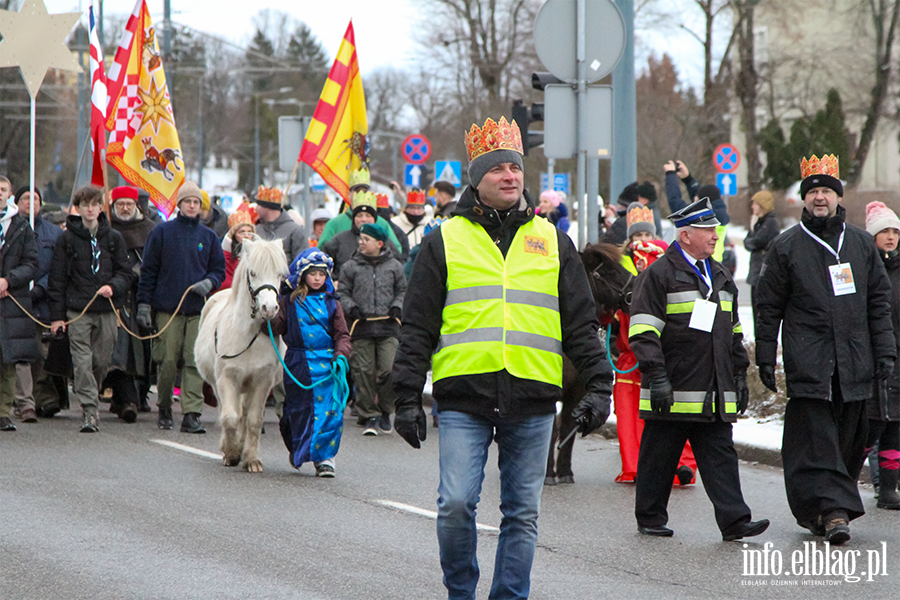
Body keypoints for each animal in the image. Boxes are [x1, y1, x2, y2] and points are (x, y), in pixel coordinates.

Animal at [196, 237, 288, 472]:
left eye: (279, 275)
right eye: (253, 273)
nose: (269, 308)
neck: (246, 336)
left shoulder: (262, 382)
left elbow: (253, 420)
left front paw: (251, 459)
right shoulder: (226, 379)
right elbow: (230, 417)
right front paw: (232, 453)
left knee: (245, 414)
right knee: (231, 412)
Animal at [544, 241, 636, 486]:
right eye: (610, 271)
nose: (638, 286)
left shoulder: (578, 392)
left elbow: (567, 427)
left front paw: (565, 472)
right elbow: (552, 430)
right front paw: (547, 474)